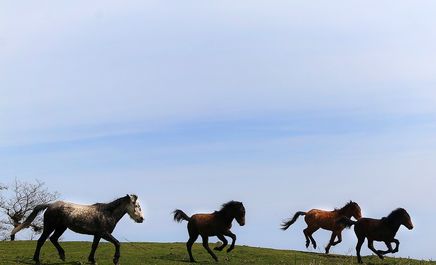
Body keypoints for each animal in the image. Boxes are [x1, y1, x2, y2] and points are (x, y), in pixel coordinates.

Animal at [10, 193, 144, 262]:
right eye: (136, 205)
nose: (141, 219)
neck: (107, 213)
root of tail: (50, 205)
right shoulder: (104, 233)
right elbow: (117, 243)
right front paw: (115, 259)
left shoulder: (97, 235)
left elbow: (94, 246)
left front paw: (92, 260)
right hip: (50, 226)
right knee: (41, 241)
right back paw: (37, 259)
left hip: (61, 228)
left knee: (53, 239)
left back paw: (62, 256)